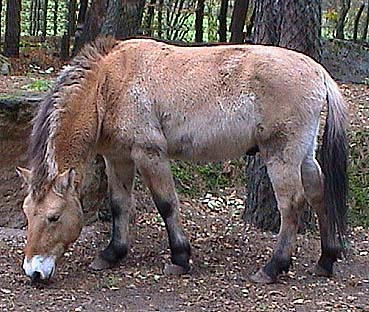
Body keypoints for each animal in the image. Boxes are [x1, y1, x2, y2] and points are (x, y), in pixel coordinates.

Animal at [15, 36, 346, 282]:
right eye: (27, 213)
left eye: (54, 216)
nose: (33, 271)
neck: (109, 84)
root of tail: (318, 71)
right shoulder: (118, 158)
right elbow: (120, 204)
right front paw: (112, 254)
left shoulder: (150, 154)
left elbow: (166, 204)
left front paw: (180, 257)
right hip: (303, 154)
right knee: (317, 193)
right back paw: (326, 259)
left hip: (281, 154)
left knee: (292, 204)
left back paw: (273, 267)